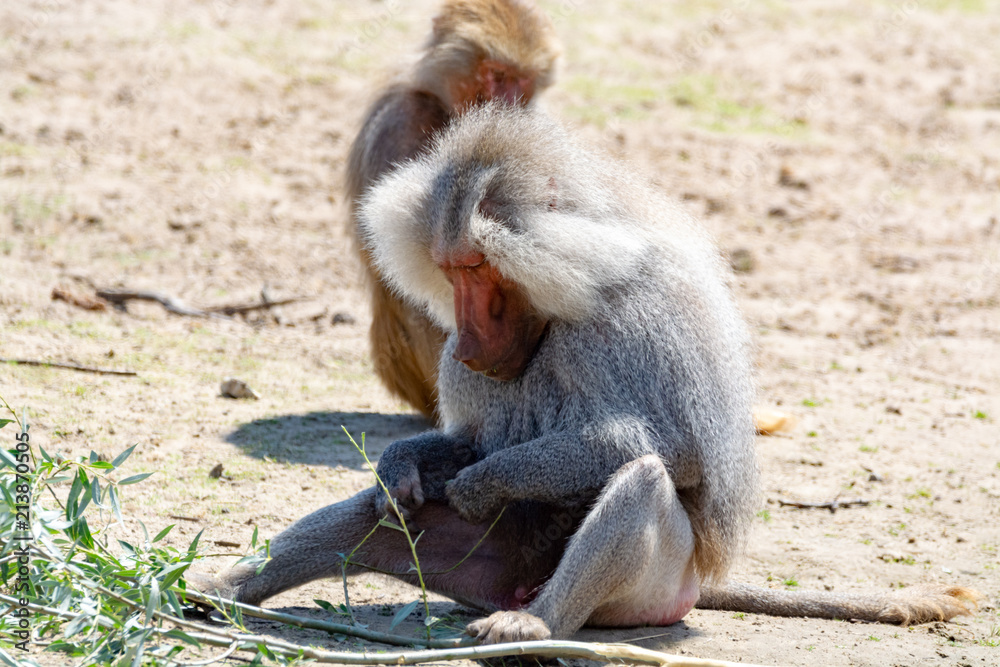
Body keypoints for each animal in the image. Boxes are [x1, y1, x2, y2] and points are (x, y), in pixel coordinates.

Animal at [191, 104, 978, 643]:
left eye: (477, 268)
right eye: (448, 270)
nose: (464, 347)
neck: (571, 286)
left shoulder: (642, 316)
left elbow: (678, 450)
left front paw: (487, 481)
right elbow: (444, 455)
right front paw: (407, 460)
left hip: (654, 587)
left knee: (643, 478)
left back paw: (535, 625)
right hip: (481, 569)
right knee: (377, 512)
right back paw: (221, 584)